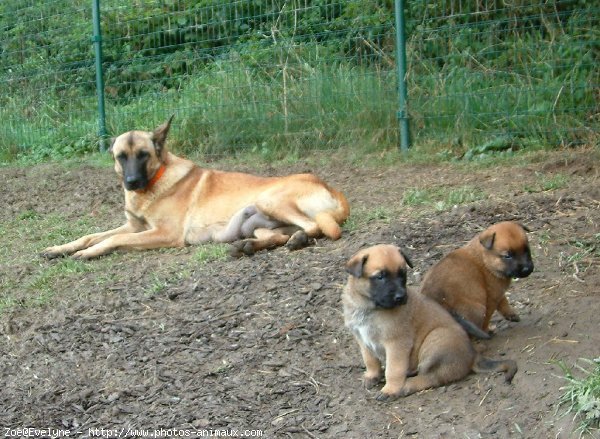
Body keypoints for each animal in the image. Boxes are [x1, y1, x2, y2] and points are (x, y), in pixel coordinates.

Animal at [42, 117, 350, 262]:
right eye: (121, 156)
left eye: (143, 155)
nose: (131, 182)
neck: (155, 183)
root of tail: (334, 190)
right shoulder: (134, 226)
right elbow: (89, 235)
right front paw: (60, 248)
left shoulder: (163, 234)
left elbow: (112, 240)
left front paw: (88, 253)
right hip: (254, 223)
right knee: (278, 236)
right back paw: (250, 246)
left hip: (269, 200)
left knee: (315, 227)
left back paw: (296, 240)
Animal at [342, 246, 516, 400]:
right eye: (380, 276)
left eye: (402, 274)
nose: (401, 297)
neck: (367, 307)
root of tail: (473, 355)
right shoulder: (362, 339)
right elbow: (370, 360)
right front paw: (372, 376)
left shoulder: (396, 343)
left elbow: (393, 369)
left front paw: (390, 390)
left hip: (436, 339)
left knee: (432, 378)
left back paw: (406, 386)